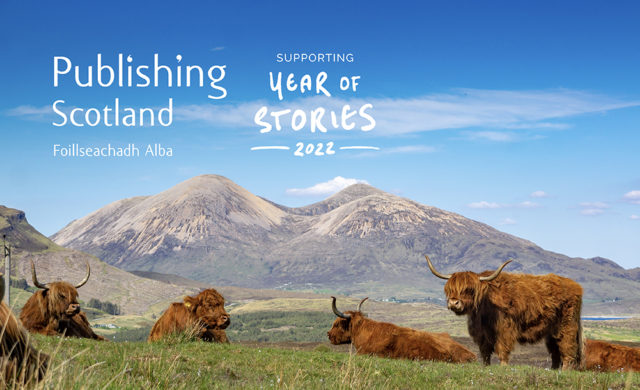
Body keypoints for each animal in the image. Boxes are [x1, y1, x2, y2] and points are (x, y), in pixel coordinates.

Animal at [428, 254, 584, 370]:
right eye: (450, 289)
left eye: (469, 289)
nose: (454, 302)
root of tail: (576, 286)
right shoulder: (481, 334)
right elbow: (485, 352)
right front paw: (485, 367)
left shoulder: (505, 330)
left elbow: (502, 349)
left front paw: (503, 367)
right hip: (551, 331)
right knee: (555, 350)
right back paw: (553, 370)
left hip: (567, 325)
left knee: (568, 347)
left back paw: (565, 370)